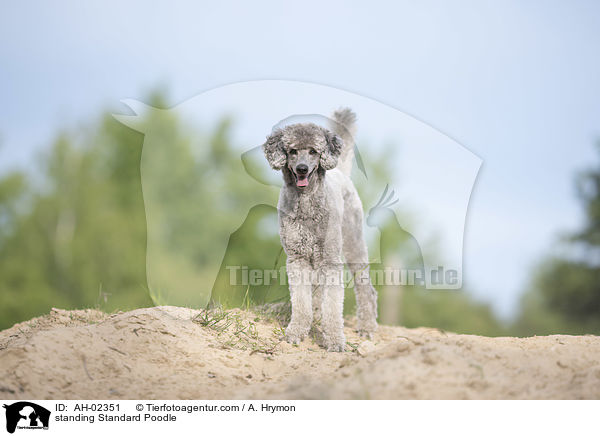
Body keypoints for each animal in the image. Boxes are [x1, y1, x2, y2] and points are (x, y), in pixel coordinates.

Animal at [262, 108, 378, 350]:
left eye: (314, 151)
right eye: (292, 151)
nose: (302, 169)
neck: (306, 204)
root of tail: (341, 172)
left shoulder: (331, 261)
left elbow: (333, 306)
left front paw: (335, 340)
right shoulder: (297, 259)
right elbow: (301, 301)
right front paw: (297, 332)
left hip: (353, 245)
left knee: (366, 290)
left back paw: (367, 327)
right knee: (315, 294)